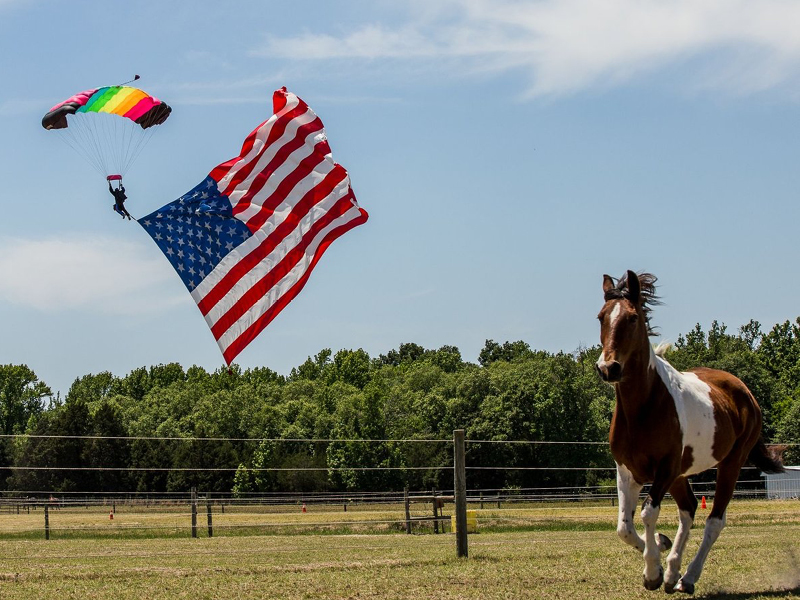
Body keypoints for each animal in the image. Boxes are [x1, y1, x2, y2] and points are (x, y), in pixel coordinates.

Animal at [592, 272, 780, 596]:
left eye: (632, 318)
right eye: (601, 317)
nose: (608, 368)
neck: (643, 407)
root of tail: (744, 391)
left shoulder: (665, 469)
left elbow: (648, 513)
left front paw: (652, 572)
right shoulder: (627, 471)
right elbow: (624, 527)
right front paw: (660, 549)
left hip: (729, 465)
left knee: (714, 521)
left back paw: (687, 577)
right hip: (681, 475)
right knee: (689, 509)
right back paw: (672, 573)